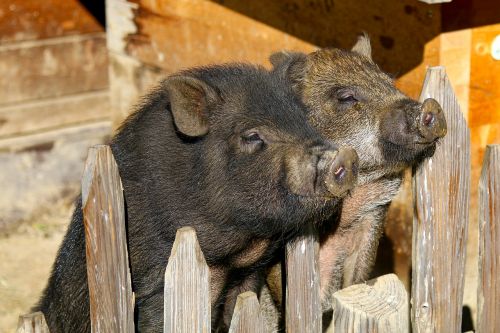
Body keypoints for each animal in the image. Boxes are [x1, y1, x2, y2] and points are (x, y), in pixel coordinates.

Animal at [35, 62, 358, 330]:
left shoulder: (249, 275)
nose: (345, 156)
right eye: (252, 136)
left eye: (304, 121)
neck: (237, 250)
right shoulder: (155, 279)